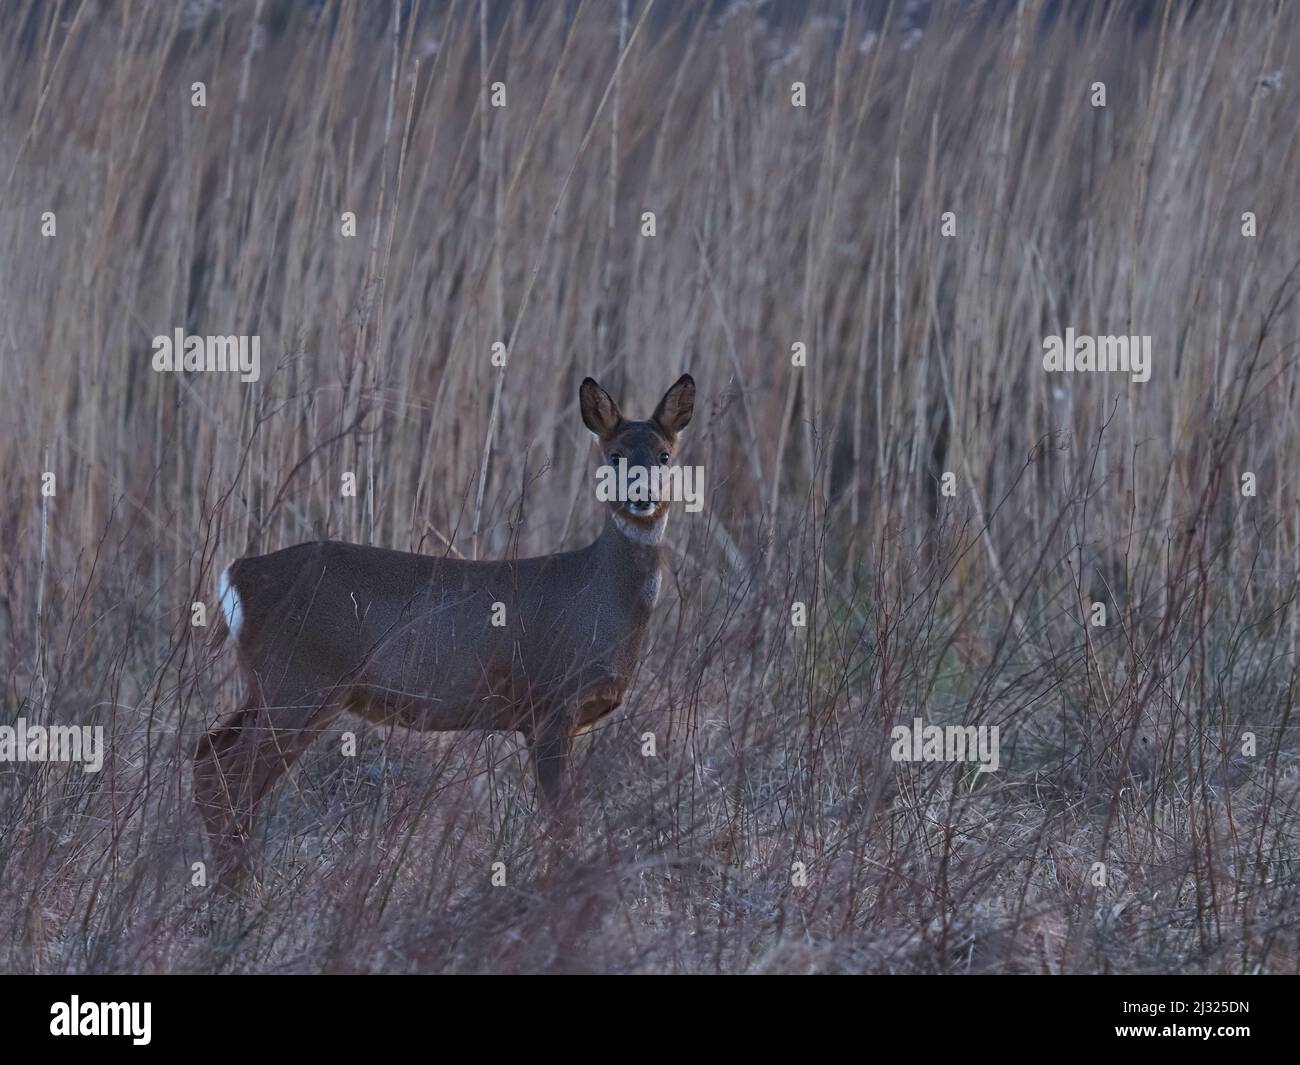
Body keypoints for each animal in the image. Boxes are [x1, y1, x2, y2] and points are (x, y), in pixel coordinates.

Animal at [193, 371, 696, 889]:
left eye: (664, 455)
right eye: (615, 455)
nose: (641, 495)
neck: (599, 601)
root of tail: (240, 574)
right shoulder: (550, 704)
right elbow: (563, 820)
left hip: (272, 685)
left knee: (208, 755)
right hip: (298, 680)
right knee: (227, 772)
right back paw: (238, 889)